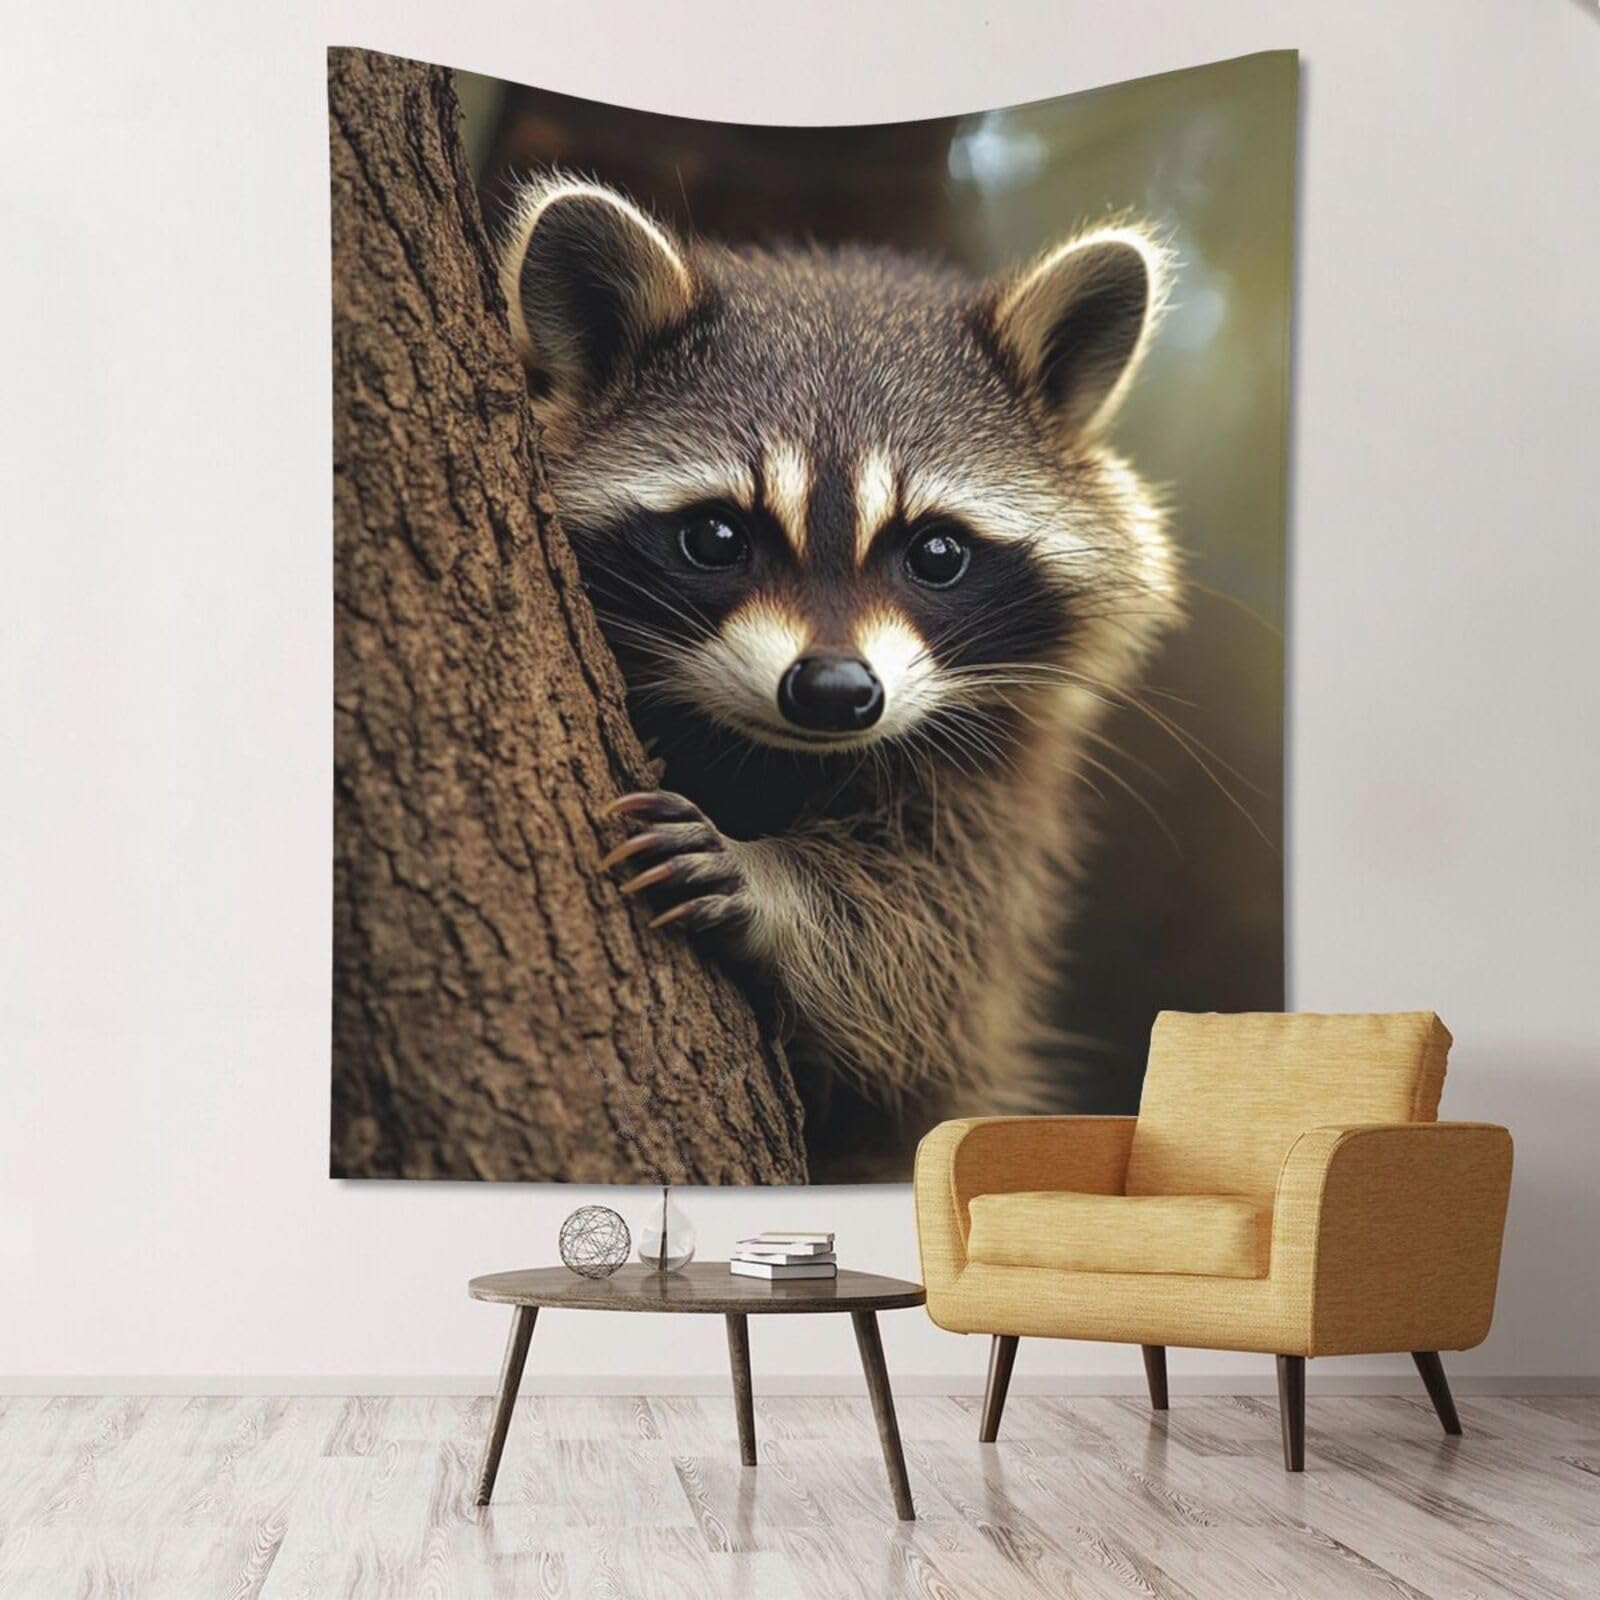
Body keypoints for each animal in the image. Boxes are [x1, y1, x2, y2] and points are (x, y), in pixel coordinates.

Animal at [498, 174, 1182, 1177]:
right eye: (717, 537)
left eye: (936, 552)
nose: (833, 693)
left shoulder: (994, 791)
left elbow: (924, 953)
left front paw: (768, 886)